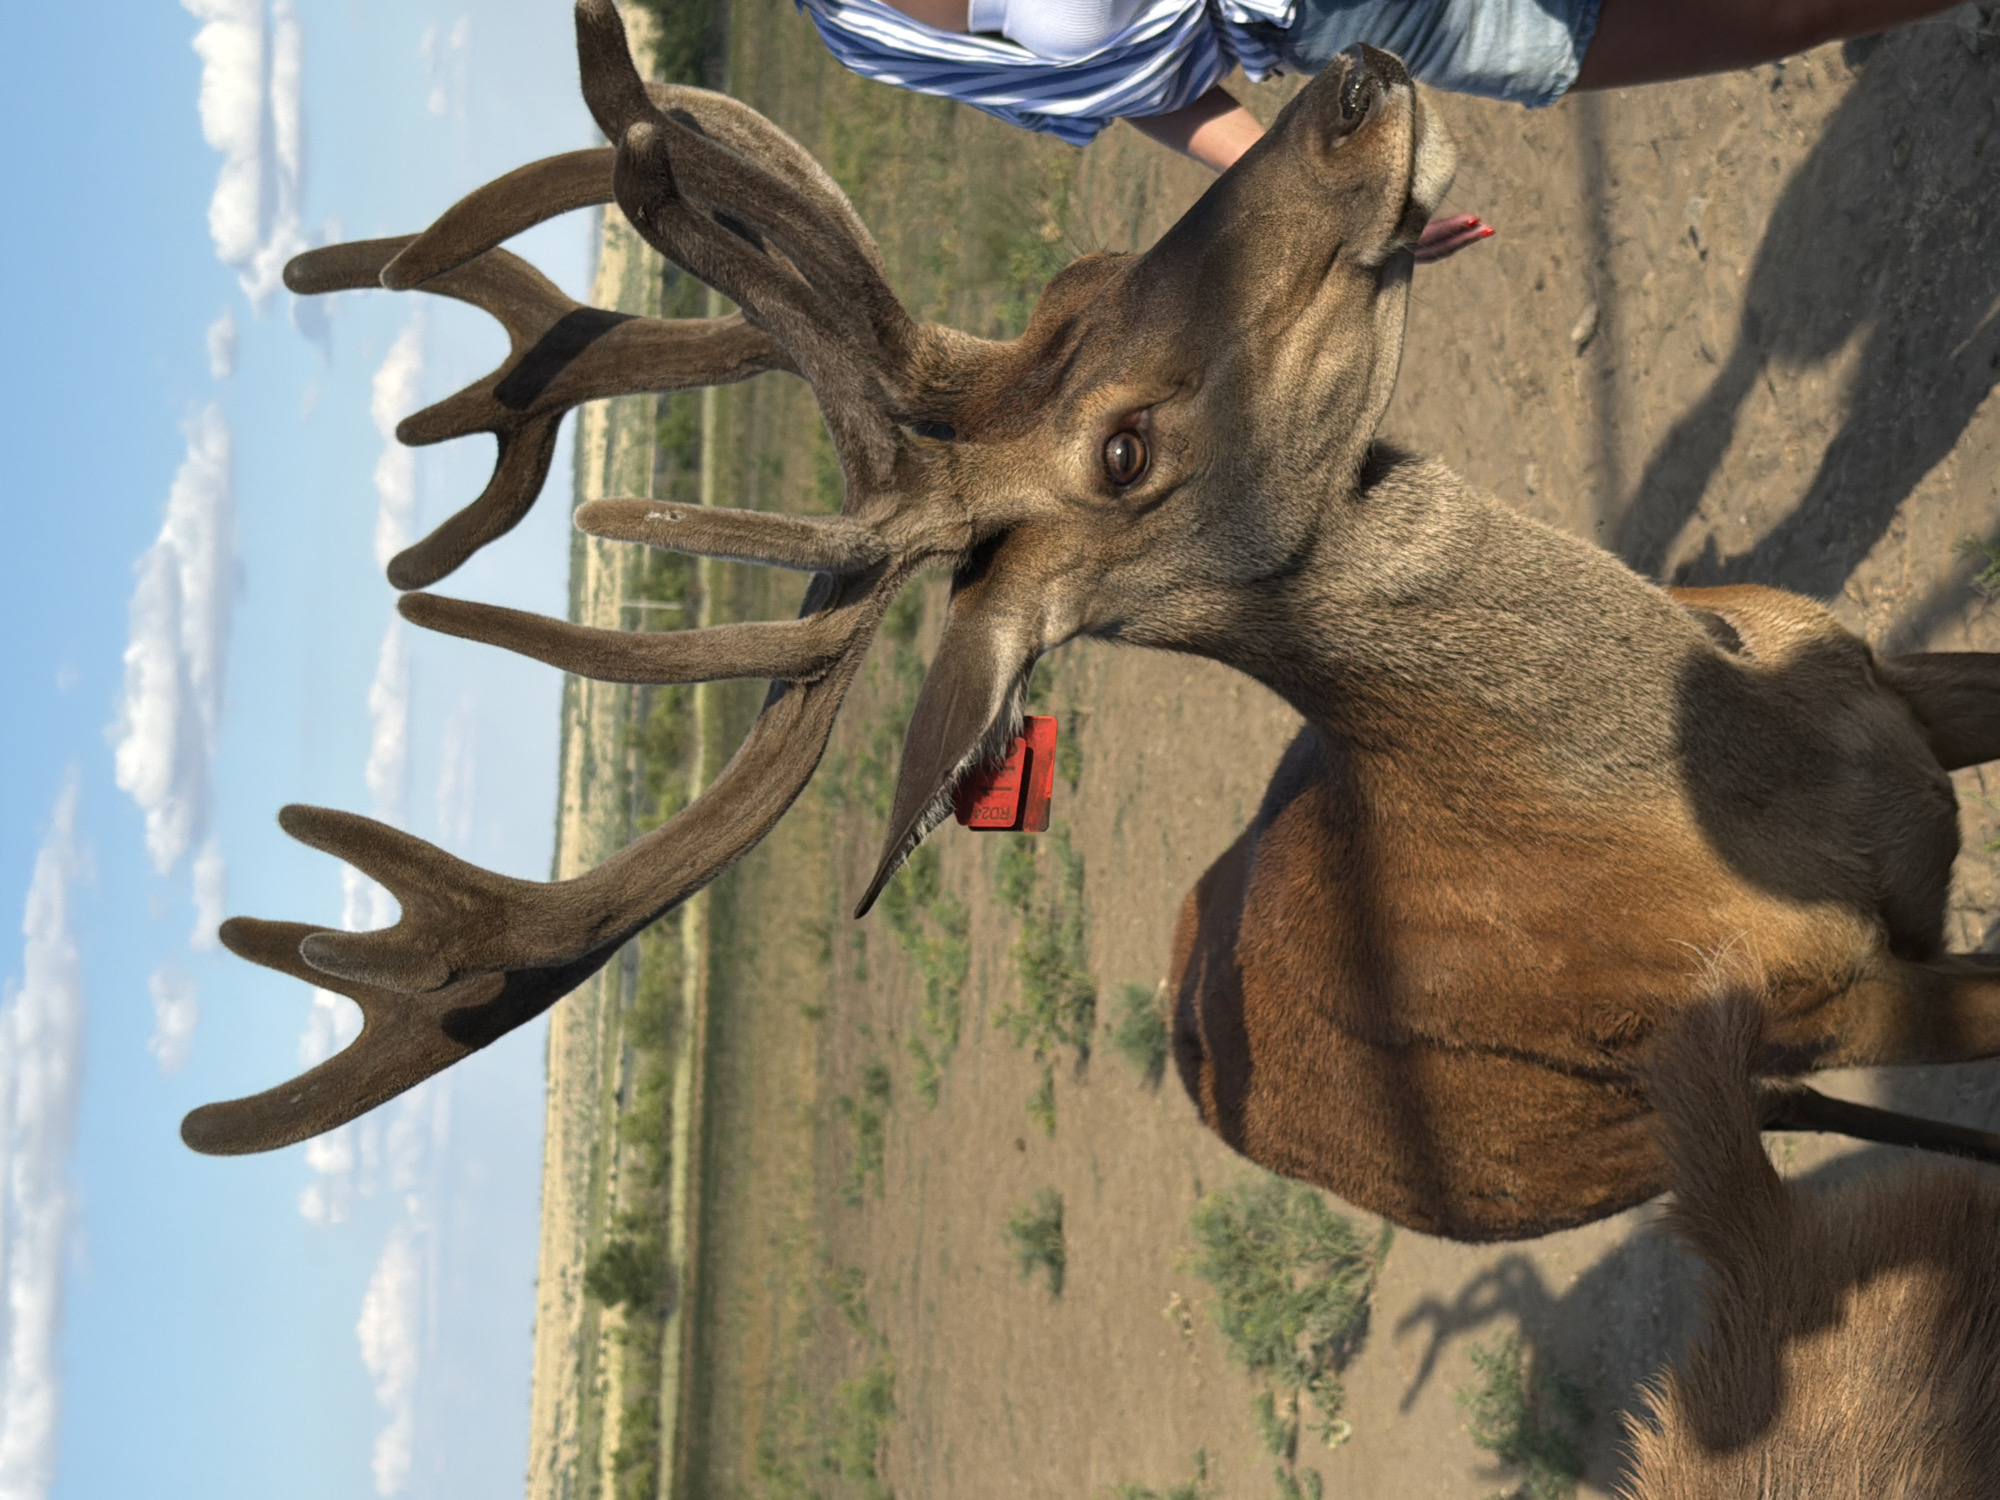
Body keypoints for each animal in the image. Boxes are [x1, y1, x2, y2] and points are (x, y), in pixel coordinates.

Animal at [185, 0, 2000, 1245]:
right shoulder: (1813, 994)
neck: (1735, 781)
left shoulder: (1888, 687)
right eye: (1122, 449)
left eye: (1088, 271)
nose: (1354, 85)